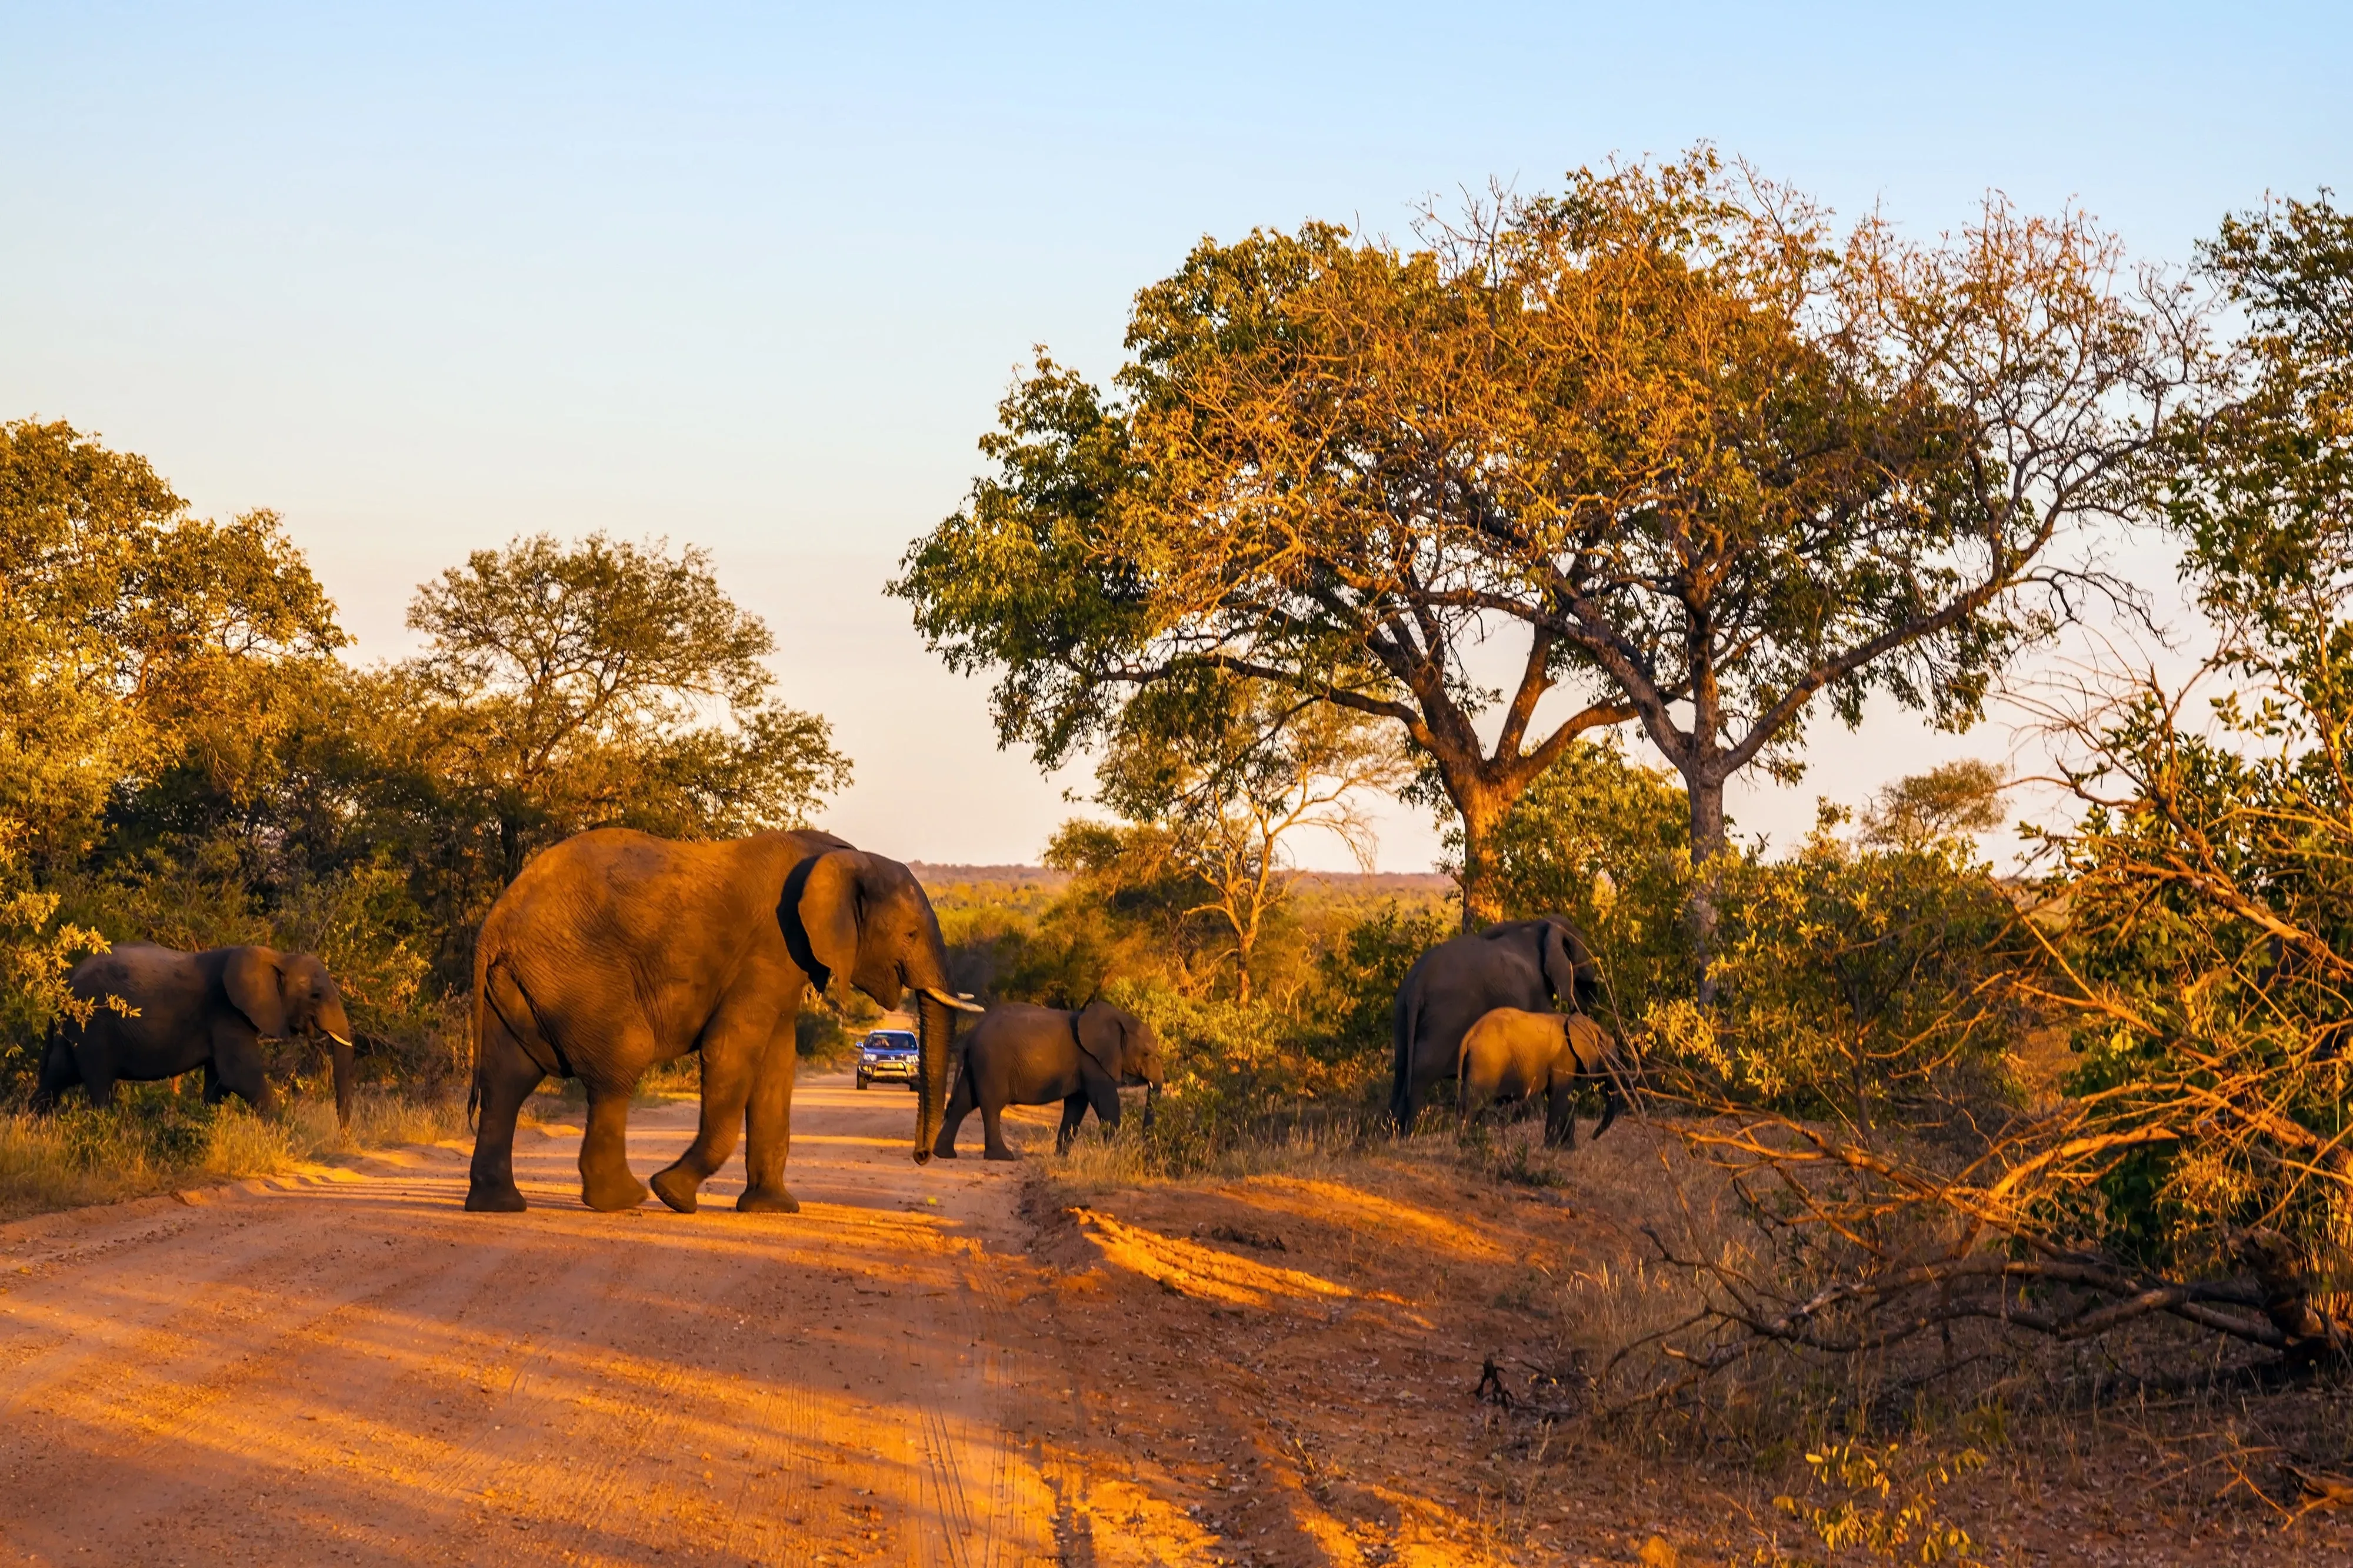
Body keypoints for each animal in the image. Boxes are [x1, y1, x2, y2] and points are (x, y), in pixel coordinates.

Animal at [33, 944, 356, 1126]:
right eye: (316, 995)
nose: (344, 1138)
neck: (279, 956)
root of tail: (67, 978)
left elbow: (220, 1082)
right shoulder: (226, 1010)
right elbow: (240, 1076)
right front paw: (291, 1136)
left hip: (76, 1025)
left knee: (57, 1075)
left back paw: (33, 1128)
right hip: (93, 1025)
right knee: (99, 1082)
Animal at [464, 826, 982, 1215]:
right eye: (910, 934)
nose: (921, 1156)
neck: (845, 857)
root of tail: (496, 923)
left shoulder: (785, 961)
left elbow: (776, 1068)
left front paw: (772, 1209)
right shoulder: (771, 947)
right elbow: (732, 1052)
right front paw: (674, 1195)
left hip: (524, 982)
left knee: (506, 1080)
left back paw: (500, 1205)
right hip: (579, 971)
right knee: (616, 1068)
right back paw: (625, 1199)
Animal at [932, 1001, 1166, 1160]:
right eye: (1146, 1054)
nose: (1144, 1154)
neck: (1120, 1018)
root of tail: (971, 1035)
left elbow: (1076, 1106)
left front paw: (1062, 1157)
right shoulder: (1092, 1061)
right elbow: (1107, 1103)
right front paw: (1119, 1156)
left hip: (978, 1063)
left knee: (963, 1102)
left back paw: (944, 1154)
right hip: (992, 1063)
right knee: (991, 1105)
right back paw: (1002, 1157)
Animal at [1390, 916, 1600, 1132]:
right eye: (1582, 950)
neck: (1541, 923)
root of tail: (1418, 983)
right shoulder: (1537, 991)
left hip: (1403, 1010)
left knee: (1402, 1064)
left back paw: (1392, 1130)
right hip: (1445, 1014)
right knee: (1423, 1068)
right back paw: (1407, 1132)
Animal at [1455, 1006, 1624, 1148]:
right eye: (1611, 1063)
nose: (1592, 1136)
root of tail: (1470, 1035)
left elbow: (1567, 1100)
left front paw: (1568, 1149)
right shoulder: (1565, 1059)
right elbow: (1560, 1097)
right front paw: (1550, 1148)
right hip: (1486, 1063)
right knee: (1475, 1103)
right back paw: (1466, 1143)